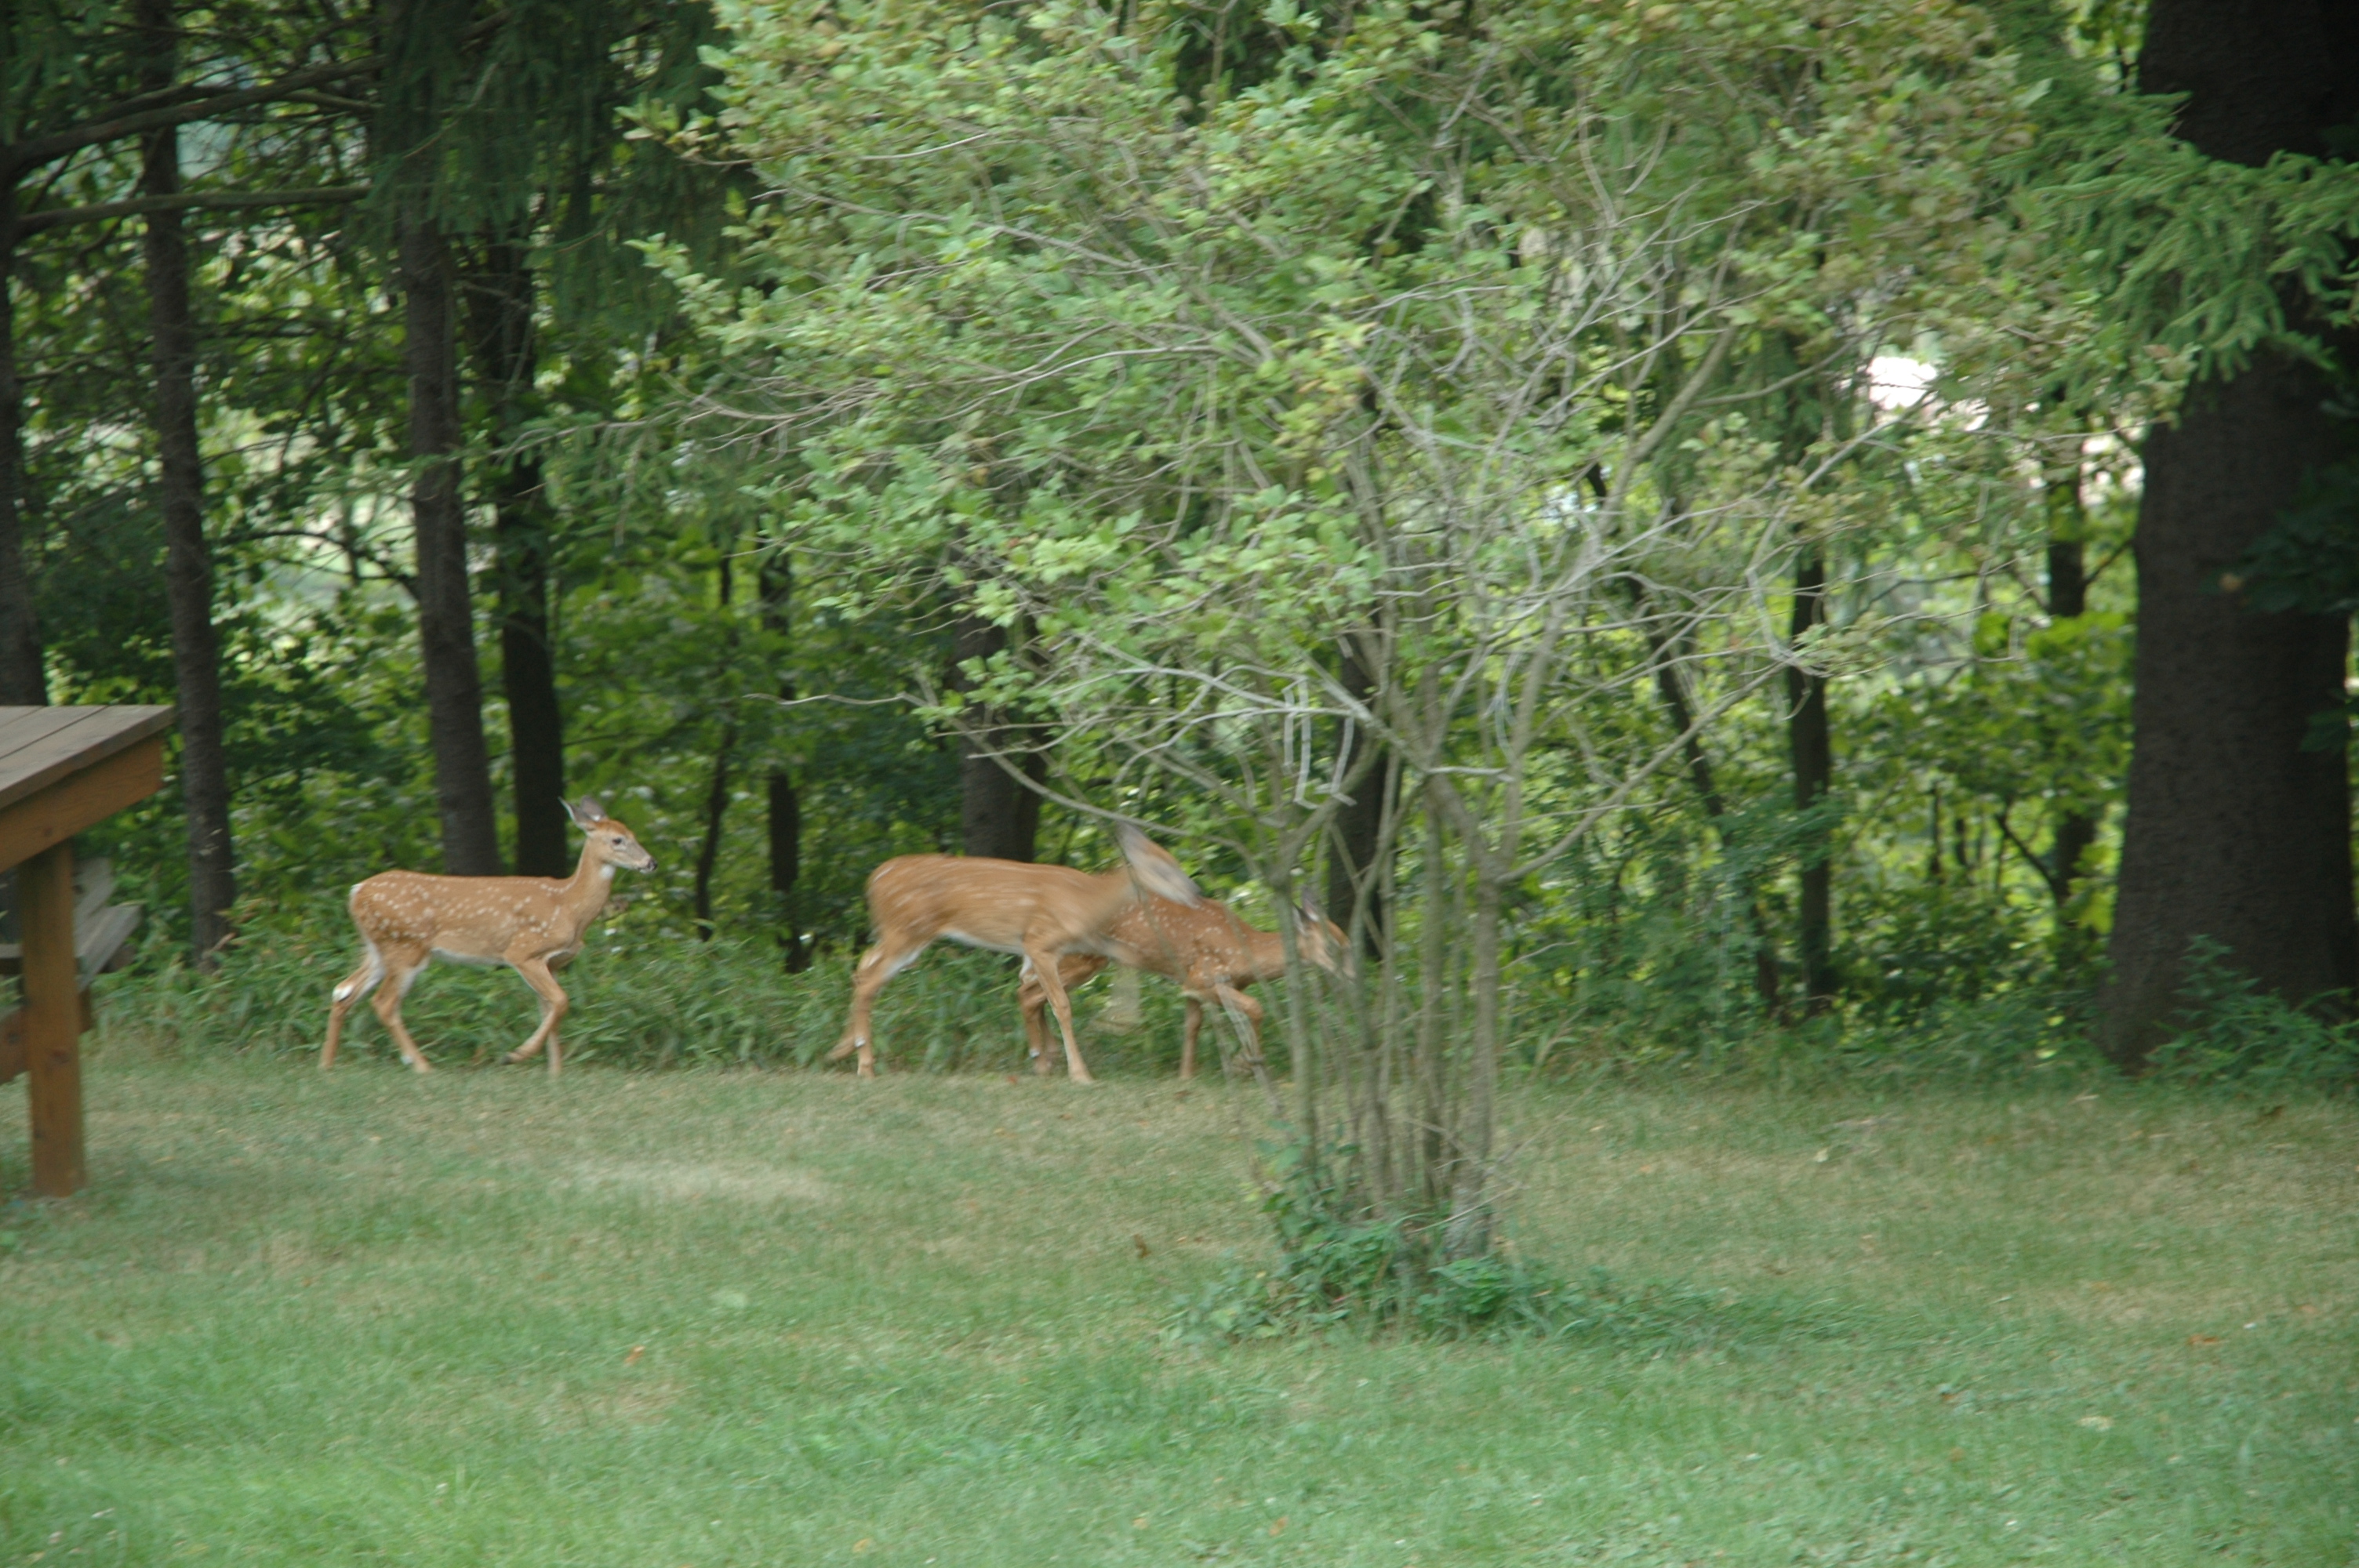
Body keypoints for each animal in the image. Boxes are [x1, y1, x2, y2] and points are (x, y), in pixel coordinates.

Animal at [321, 801, 656, 1070]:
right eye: (618, 839)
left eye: (634, 834)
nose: (651, 863)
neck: (569, 906)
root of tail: (355, 892)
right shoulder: (523, 950)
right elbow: (561, 1002)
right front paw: (517, 1055)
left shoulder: (552, 963)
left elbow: (550, 1009)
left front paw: (555, 1072)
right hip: (406, 946)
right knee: (384, 1003)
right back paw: (422, 1066)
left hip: (380, 948)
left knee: (343, 990)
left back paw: (327, 1065)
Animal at [830, 825, 1198, 1084]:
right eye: (1161, 868)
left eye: (1175, 862)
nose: (1195, 891)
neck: (1086, 900)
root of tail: (873, 880)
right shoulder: (1040, 942)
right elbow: (1061, 1005)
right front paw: (1079, 1074)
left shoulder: (1046, 949)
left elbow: (1033, 992)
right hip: (908, 931)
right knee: (869, 980)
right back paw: (865, 1065)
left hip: (897, 934)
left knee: (863, 967)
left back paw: (841, 1050)